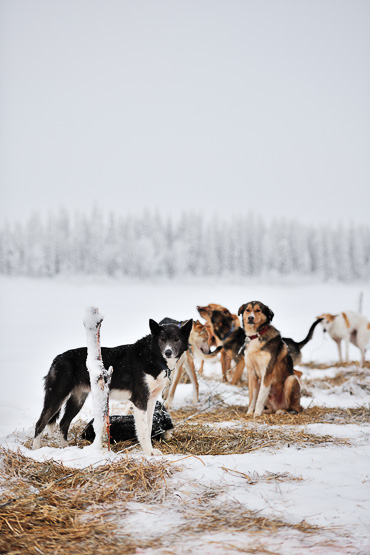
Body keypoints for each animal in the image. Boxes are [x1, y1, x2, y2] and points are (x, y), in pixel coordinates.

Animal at [33, 322, 192, 456]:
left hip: (78, 400)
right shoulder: (140, 401)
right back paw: (36, 451)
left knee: (63, 423)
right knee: (40, 423)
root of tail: (57, 358)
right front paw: (149, 452)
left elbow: (148, 426)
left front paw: (150, 449)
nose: (168, 352)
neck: (153, 356)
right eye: (162, 339)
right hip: (57, 396)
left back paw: (66, 449)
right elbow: (144, 429)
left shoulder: (151, 400)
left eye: (176, 339)